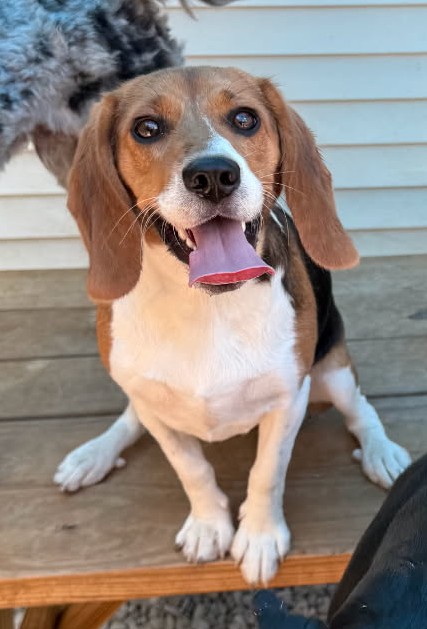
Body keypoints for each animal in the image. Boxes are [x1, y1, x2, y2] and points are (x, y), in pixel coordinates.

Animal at [54, 66, 411, 584]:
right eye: (146, 128)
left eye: (245, 118)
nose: (213, 176)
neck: (206, 306)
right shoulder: (155, 408)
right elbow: (192, 469)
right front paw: (209, 525)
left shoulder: (288, 399)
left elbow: (267, 473)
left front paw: (260, 537)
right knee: (131, 418)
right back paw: (93, 454)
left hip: (333, 372)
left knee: (360, 409)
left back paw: (382, 451)